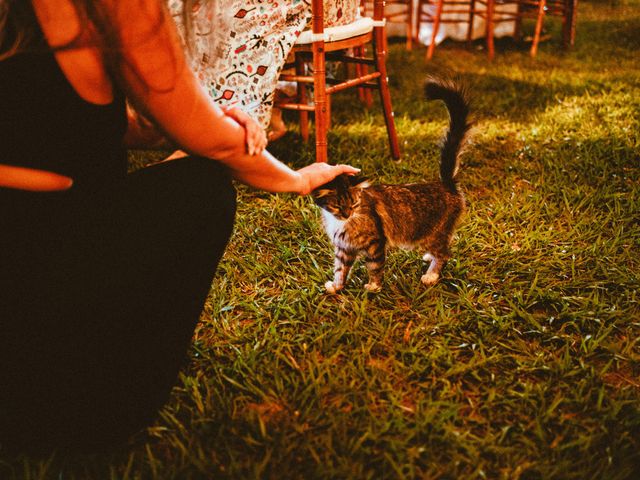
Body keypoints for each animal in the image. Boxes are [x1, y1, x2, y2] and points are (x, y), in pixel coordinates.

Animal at [312, 78, 472, 292]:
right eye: (337, 206)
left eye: (353, 205)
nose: (347, 215)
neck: (342, 223)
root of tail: (446, 183)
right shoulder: (344, 249)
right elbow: (340, 269)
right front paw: (337, 287)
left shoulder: (375, 244)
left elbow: (375, 267)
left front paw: (373, 287)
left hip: (434, 233)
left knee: (444, 254)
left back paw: (431, 275)